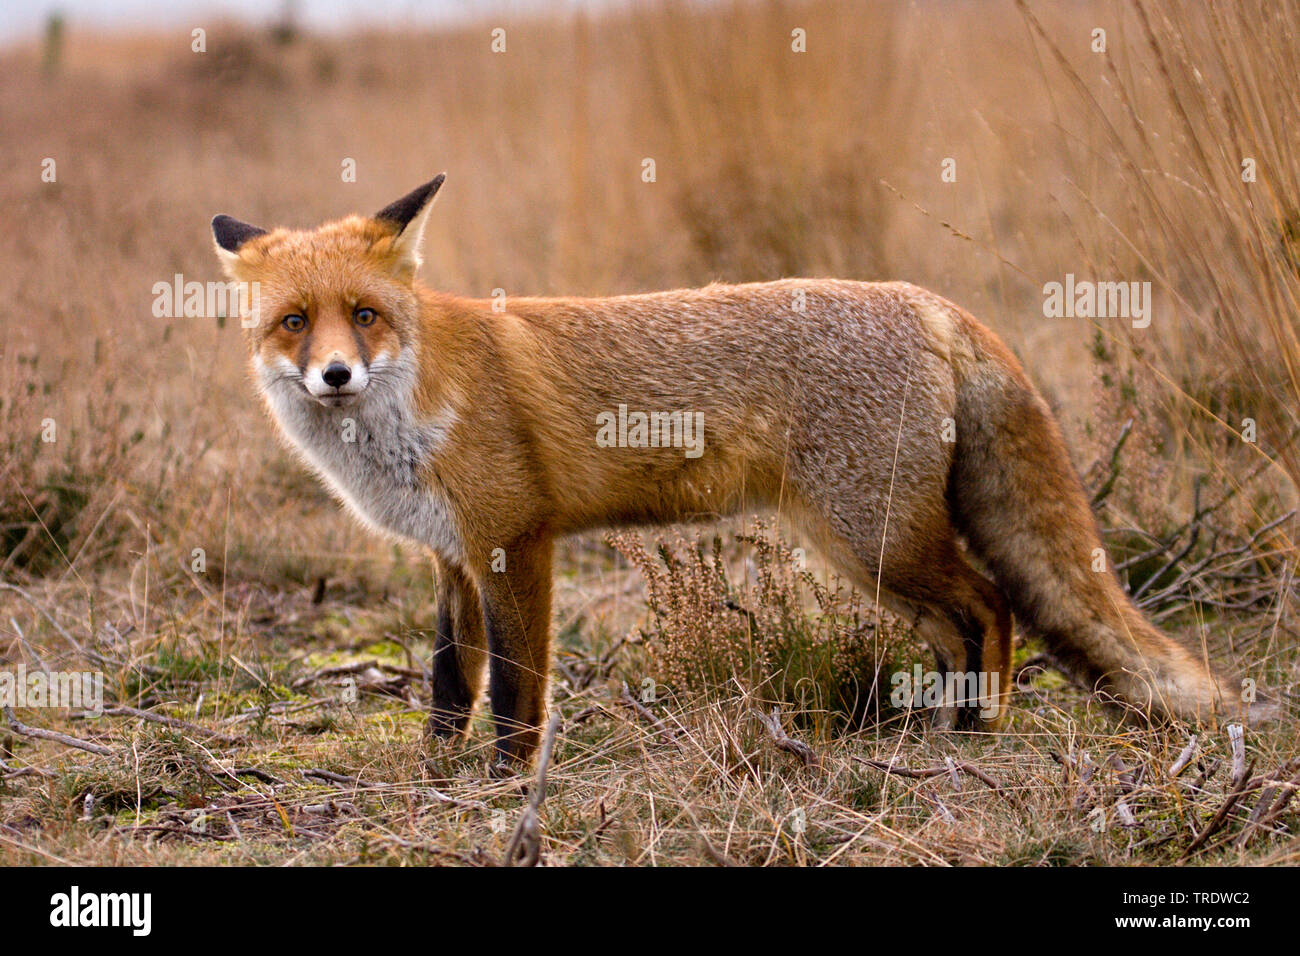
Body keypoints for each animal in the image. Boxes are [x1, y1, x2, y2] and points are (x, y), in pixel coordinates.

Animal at [213, 174, 1258, 770]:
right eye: (296, 323)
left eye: (366, 314)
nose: (337, 375)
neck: (408, 409)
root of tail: (925, 298)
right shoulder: (452, 559)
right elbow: (446, 682)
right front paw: (436, 777)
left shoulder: (516, 542)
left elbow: (514, 690)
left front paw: (507, 782)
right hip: (875, 550)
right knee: (964, 624)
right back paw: (946, 734)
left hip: (870, 537)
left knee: (992, 604)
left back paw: (980, 737)